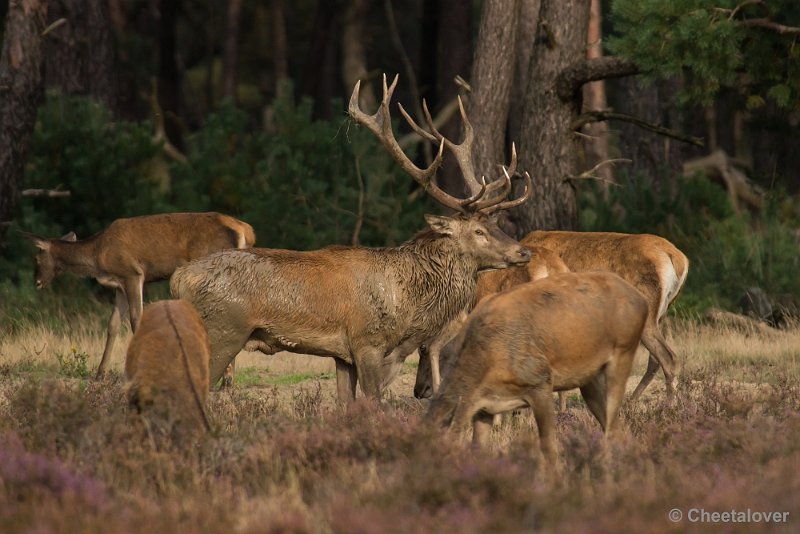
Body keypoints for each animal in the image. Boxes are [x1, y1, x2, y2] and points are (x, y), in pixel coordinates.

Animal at [21, 211, 255, 378]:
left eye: (36, 258)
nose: (37, 282)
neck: (97, 256)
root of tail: (245, 230)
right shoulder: (119, 285)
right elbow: (113, 324)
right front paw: (100, 374)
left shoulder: (132, 273)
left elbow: (136, 319)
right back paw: (226, 380)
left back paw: (225, 380)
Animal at [170, 74, 532, 402]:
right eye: (478, 232)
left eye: (495, 223)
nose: (522, 251)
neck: (407, 303)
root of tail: (178, 279)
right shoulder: (368, 342)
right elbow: (373, 403)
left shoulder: (342, 355)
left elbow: (346, 405)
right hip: (223, 331)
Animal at [428, 272, 648, 464]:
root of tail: (642, 299)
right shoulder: (485, 407)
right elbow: (477, 448)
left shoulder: (539, 380)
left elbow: (548, 447)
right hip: (589, 379)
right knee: (617, 428)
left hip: (624, 350)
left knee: (611, 425)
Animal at [524, 230, 688, 402]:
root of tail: (679, 259)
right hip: (662, 313)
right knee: (655, 359)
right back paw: (632, 401)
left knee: (667, 357)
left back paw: (669, 404)